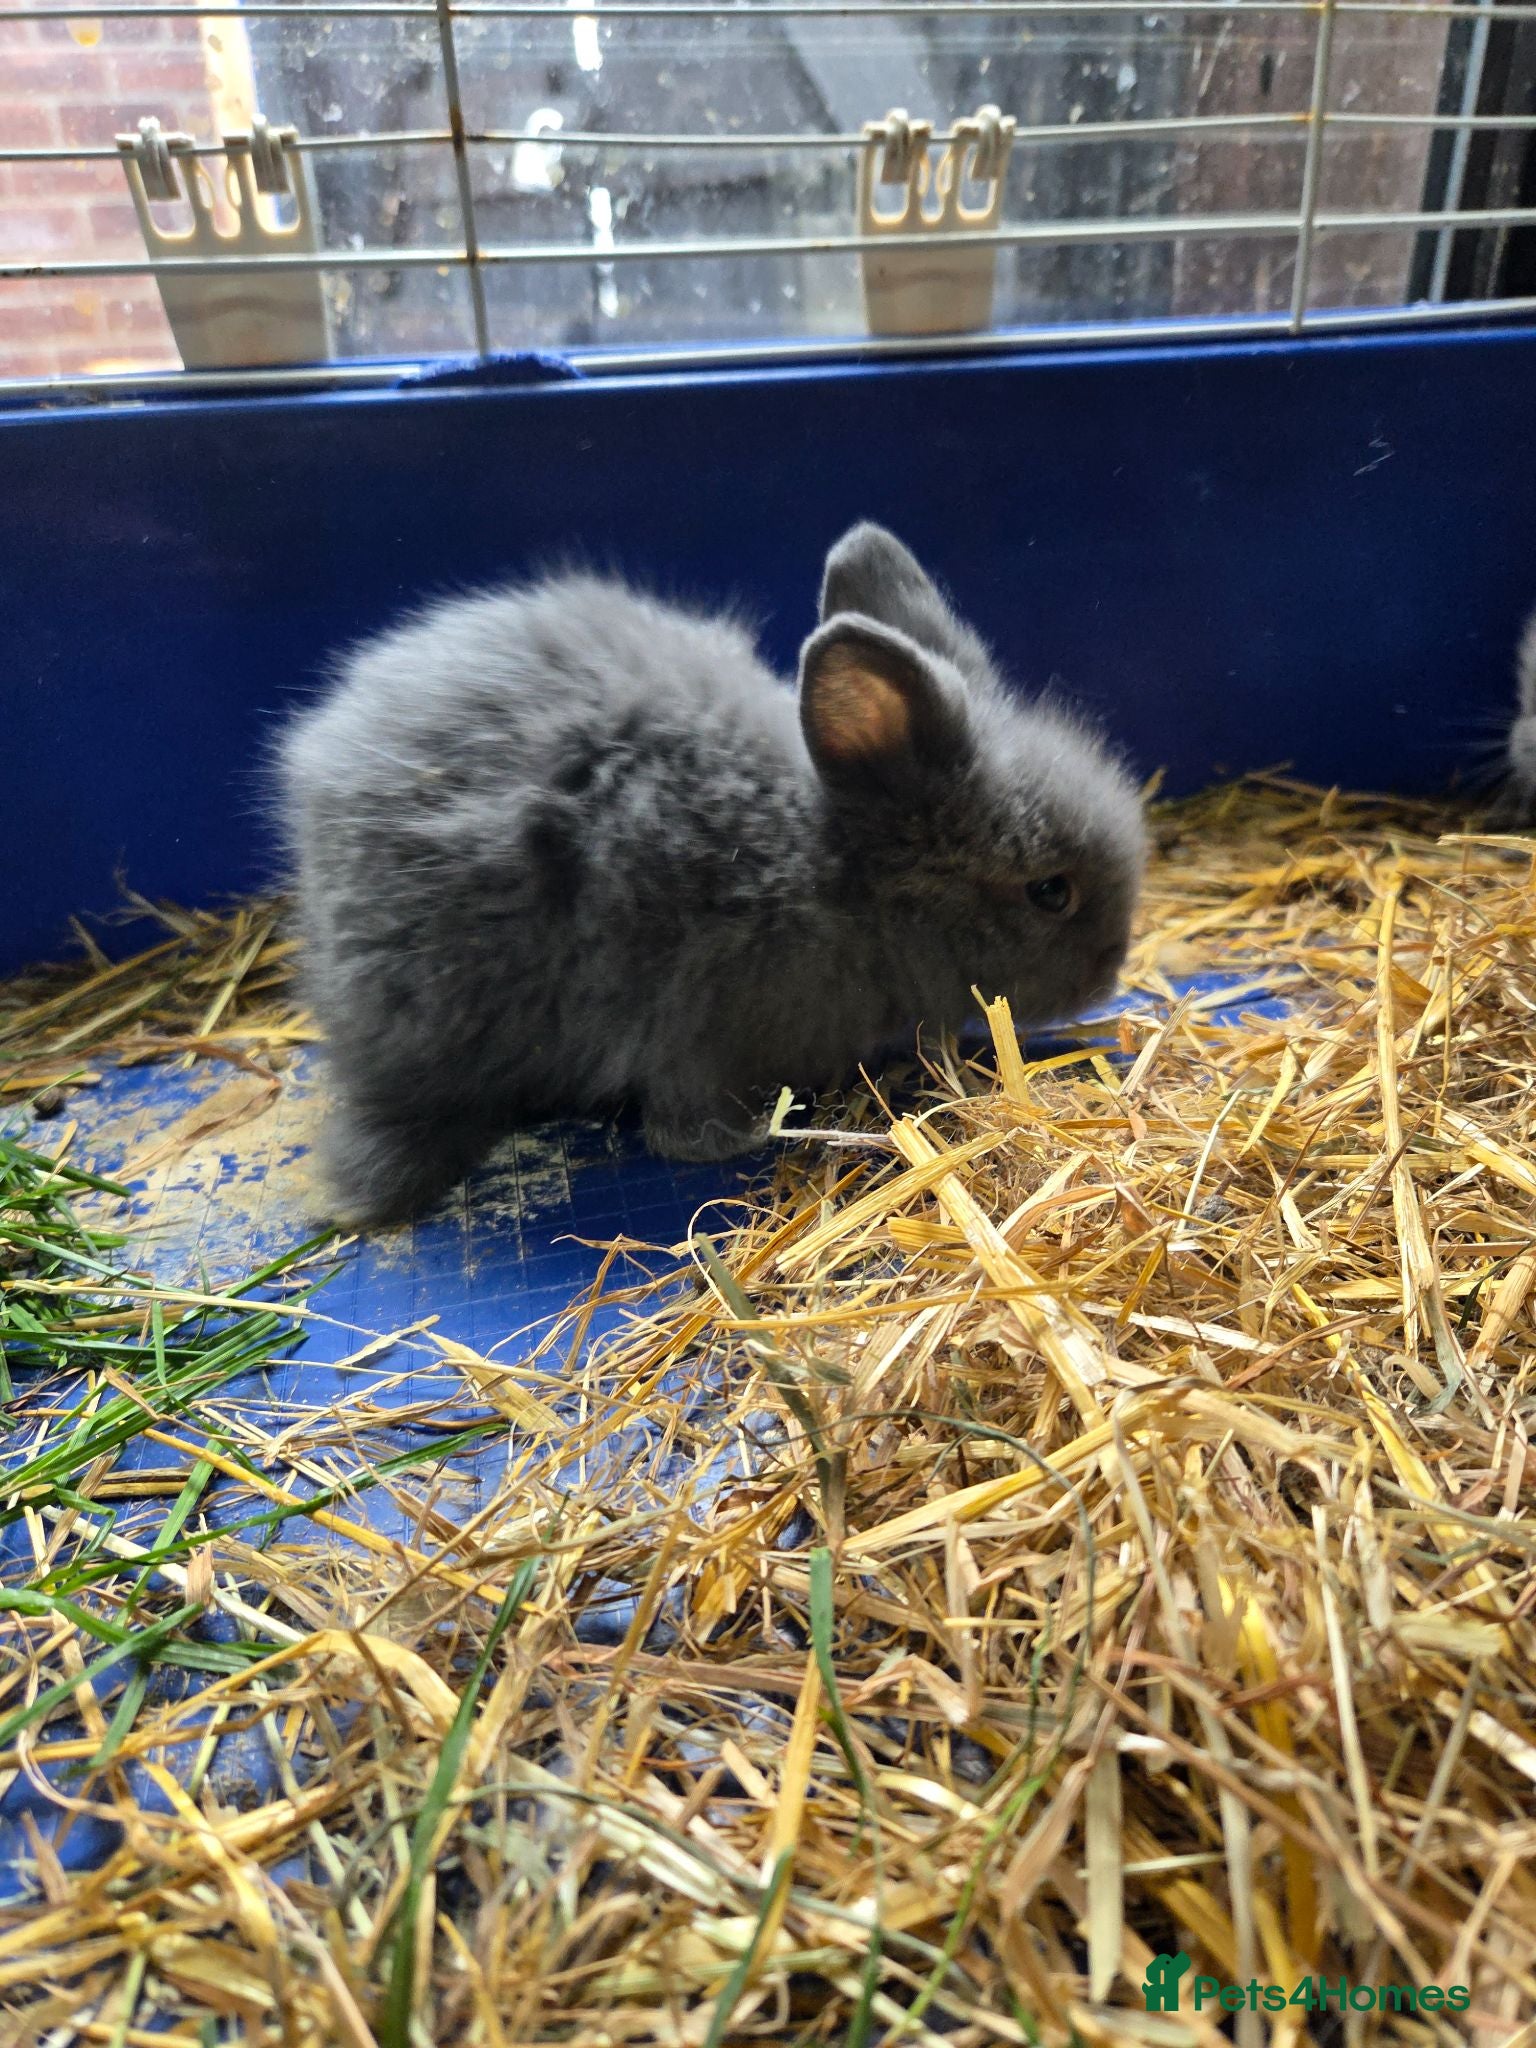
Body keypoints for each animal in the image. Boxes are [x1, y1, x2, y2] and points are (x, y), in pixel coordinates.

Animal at [278, 522, 1146, 1225]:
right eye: (1050, 892)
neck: (838, 874)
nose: (1109, 976)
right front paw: (736, 1139)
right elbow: (684, 1128)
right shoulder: (698, 1024)